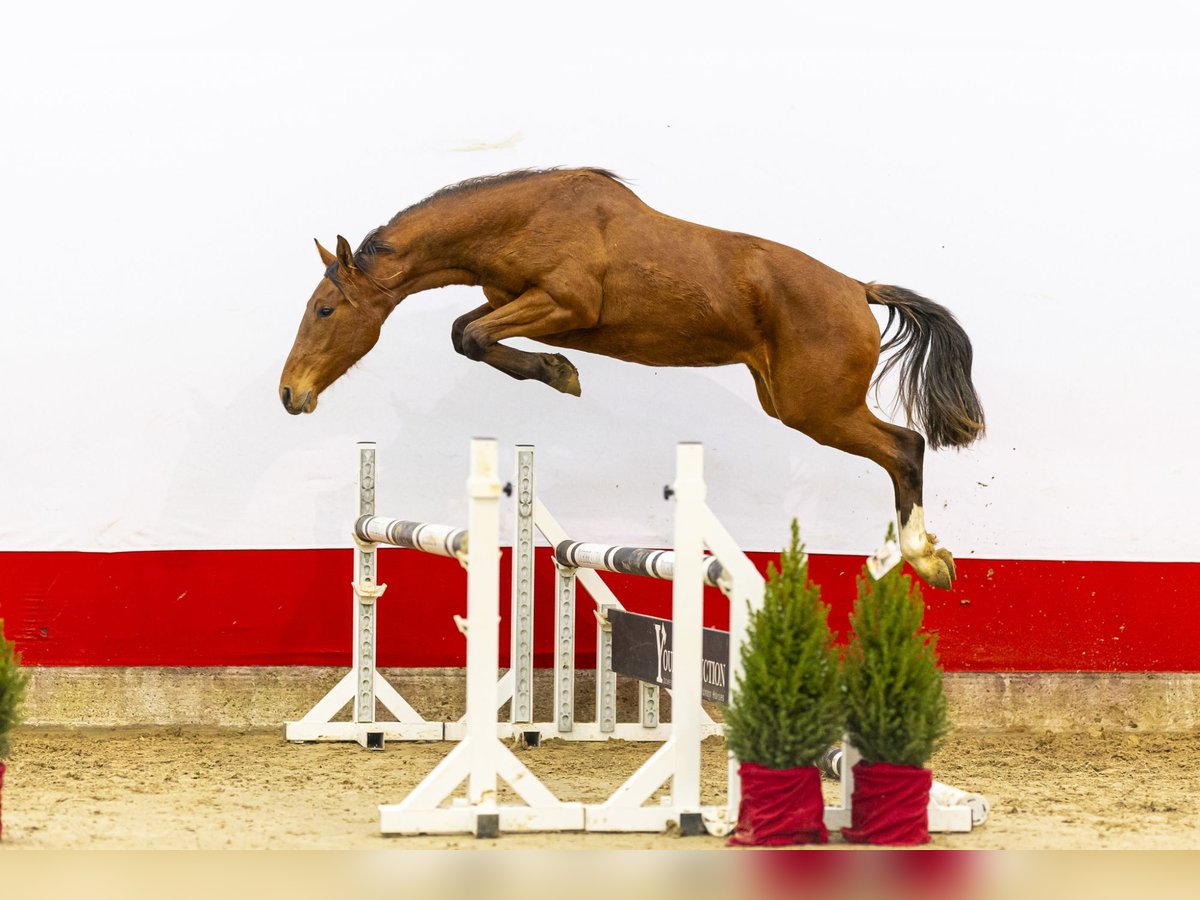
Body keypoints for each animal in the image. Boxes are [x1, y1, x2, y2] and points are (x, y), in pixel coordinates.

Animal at [279, 168, 984, 589]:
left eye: (325, 309)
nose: (290, 394)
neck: (522, 220)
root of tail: (857, 289)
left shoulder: (564, 305)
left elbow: (472, 337)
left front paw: (561, 373)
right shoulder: (513, 302)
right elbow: (466, 332)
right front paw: (560, 370)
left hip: (817, 409)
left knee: (905, 447)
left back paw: (925, 557)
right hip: (793, 401)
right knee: (900, 451)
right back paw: (920, 558)